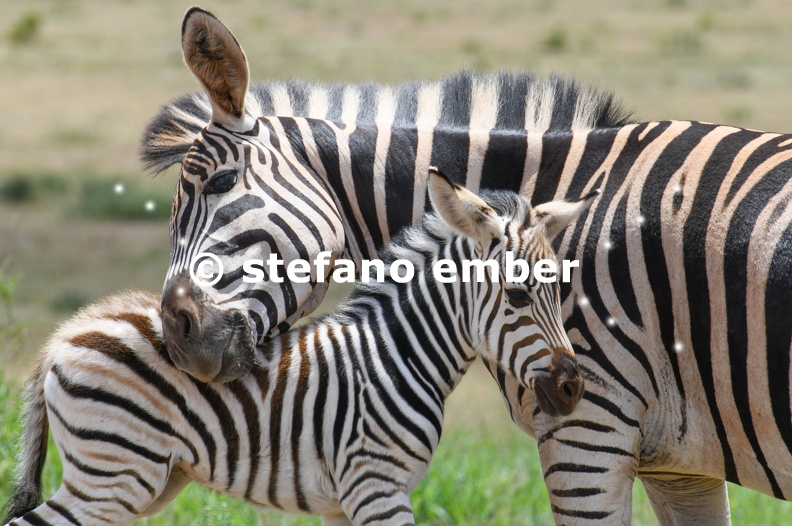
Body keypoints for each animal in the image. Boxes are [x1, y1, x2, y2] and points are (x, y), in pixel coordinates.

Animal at [1, 171, 592, 524]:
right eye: (517, 295)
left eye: (561, 287)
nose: (572, 388)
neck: (399, 354)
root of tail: (61, 336)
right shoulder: (376, 486)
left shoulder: (344, 501)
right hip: (112, 475)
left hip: (140, 479)